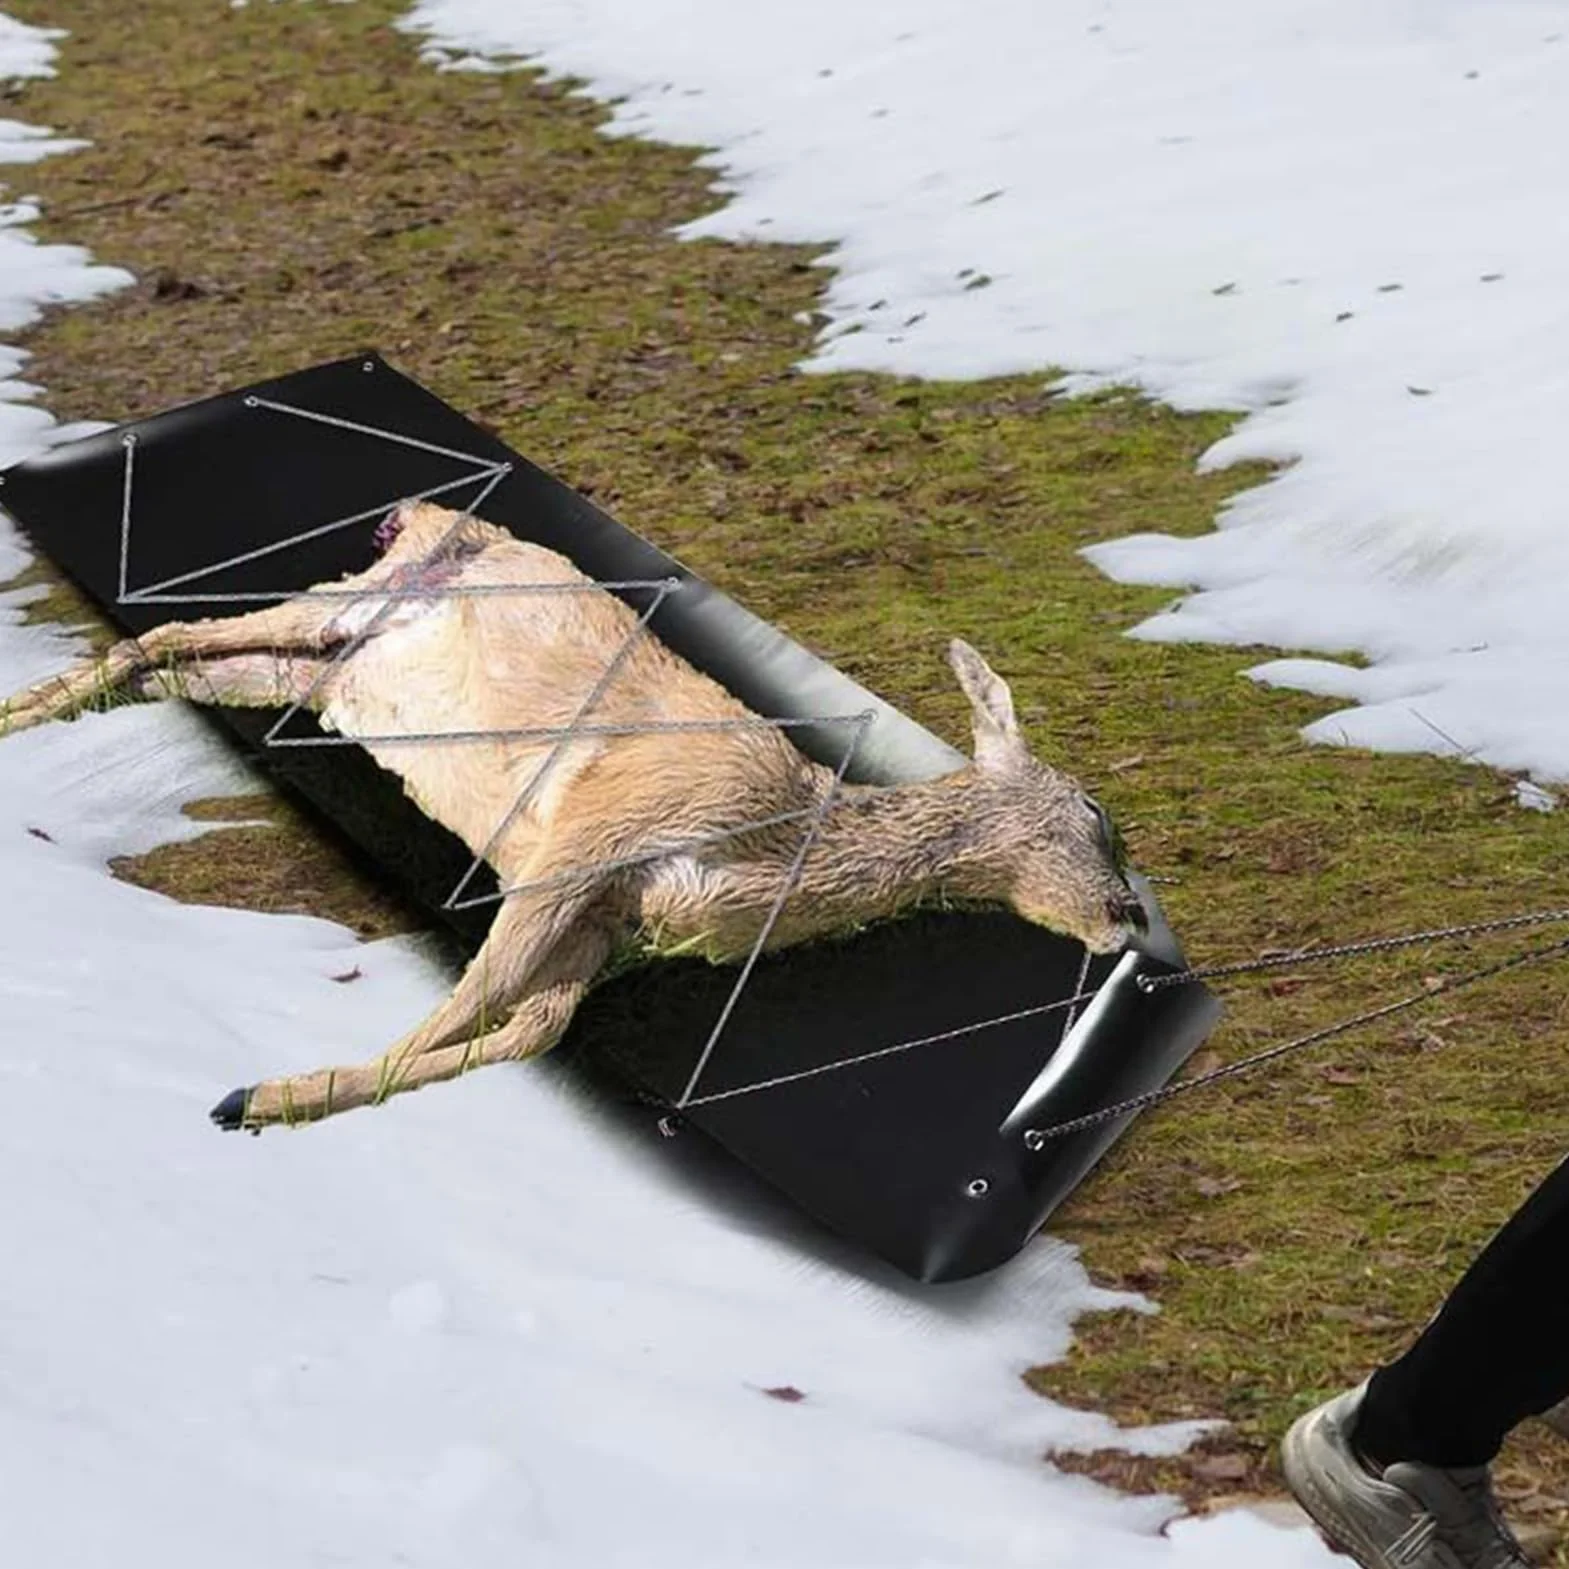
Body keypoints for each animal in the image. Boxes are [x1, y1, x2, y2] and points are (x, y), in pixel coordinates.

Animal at [0, 500, 1146, 1131]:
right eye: (1097, 814)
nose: (1128, 918)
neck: (778, 842)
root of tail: (419, 514)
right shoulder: (584, 843)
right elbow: (471, 1001)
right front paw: (253, 1099)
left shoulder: (606, 934)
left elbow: (524, 1032)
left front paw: (267, 1102)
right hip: (345, 606)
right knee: (163, 633)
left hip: (321, 671)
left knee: (160, 661)